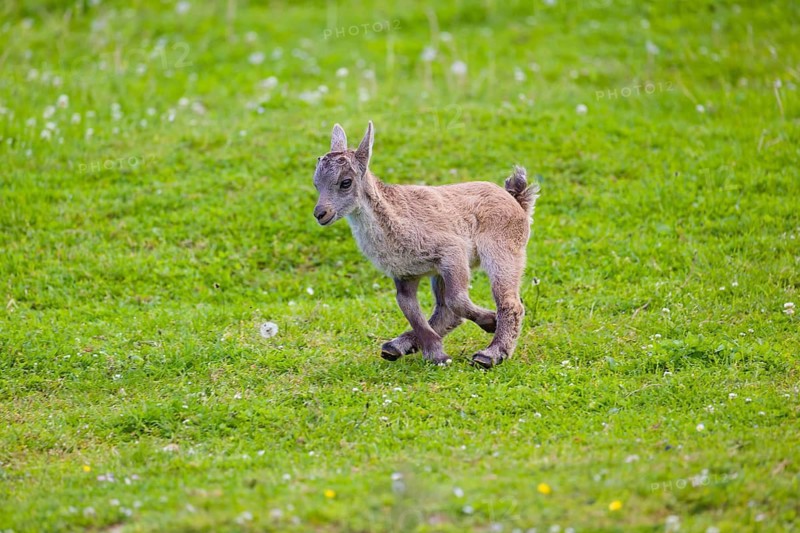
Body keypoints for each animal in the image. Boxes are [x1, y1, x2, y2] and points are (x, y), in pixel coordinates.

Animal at [312, 121, 539, 368]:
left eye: (346, 182)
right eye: (316, 184)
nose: (321, 214)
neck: (395, 222)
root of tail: (518, 203)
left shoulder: (452, 252)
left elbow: (456, 299)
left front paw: (489, 322)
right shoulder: (404, 274)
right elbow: (409, 307)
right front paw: (437, 355)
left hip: (503, 250)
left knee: (509, 302)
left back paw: (490, 354)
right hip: (440, 273)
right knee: (445, 311)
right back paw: (395, 346)